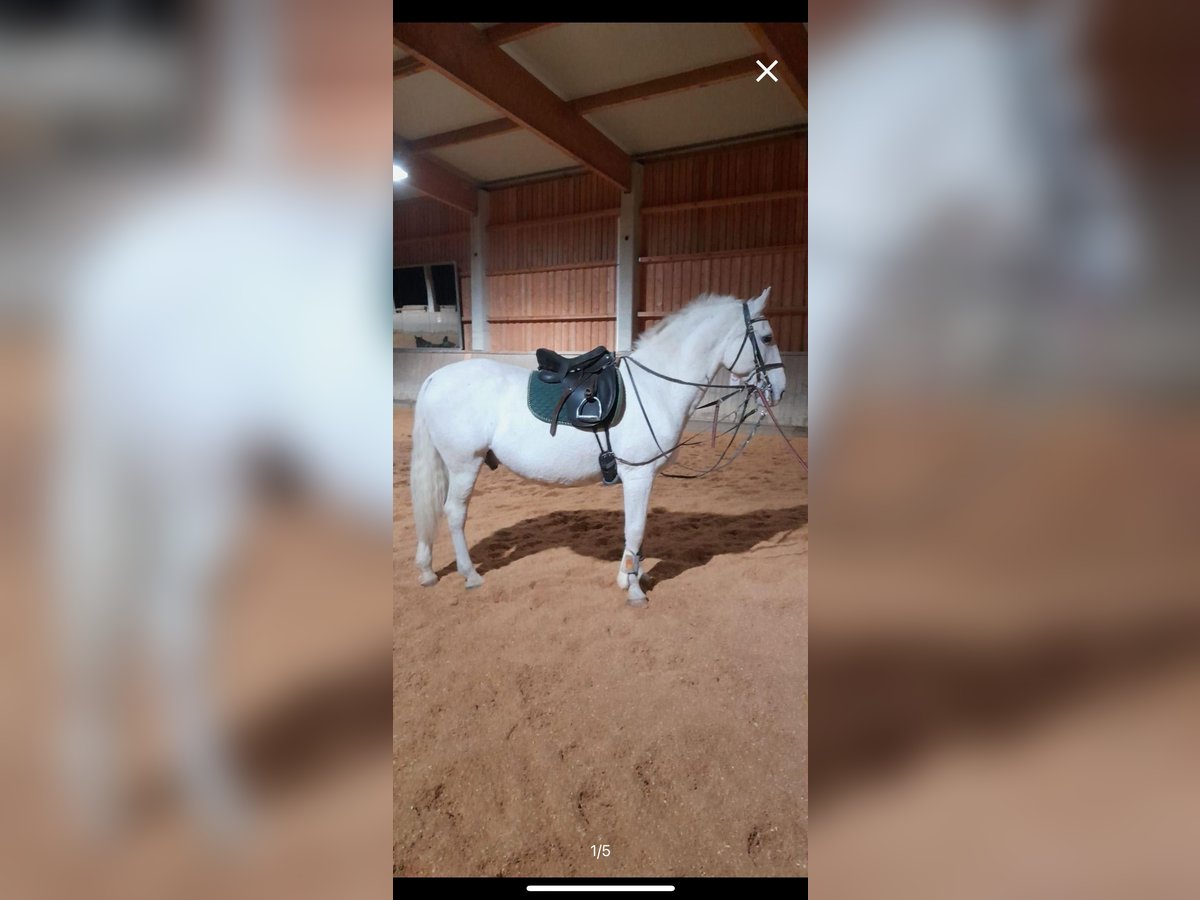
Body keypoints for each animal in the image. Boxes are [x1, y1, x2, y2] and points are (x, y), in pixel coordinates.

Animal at [410, 292, 787, 609]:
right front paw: (634, 589)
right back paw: (470, 575)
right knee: (454, 513)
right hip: (465, 464)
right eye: (767, 338)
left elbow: (638, 530)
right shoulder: (638, 475)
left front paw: (633, 574)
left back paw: (427, 571)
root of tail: (435, 378)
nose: (780, 390)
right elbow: (635, 529)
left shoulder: (641, 478)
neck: (655, 390)